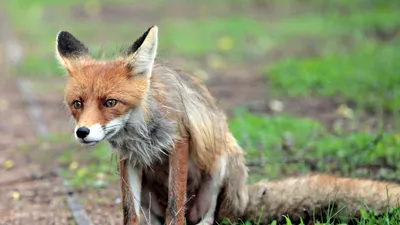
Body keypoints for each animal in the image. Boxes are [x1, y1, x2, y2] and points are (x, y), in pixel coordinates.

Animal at [56, 25, 400, 225]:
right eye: (78, 104)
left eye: (110, 102)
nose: (82, 132)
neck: (140, 132)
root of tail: (244, 198)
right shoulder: (128, 159)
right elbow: (130, 213)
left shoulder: (179, 143)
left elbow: (176, 207)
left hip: (221, 167)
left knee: (207, 219)